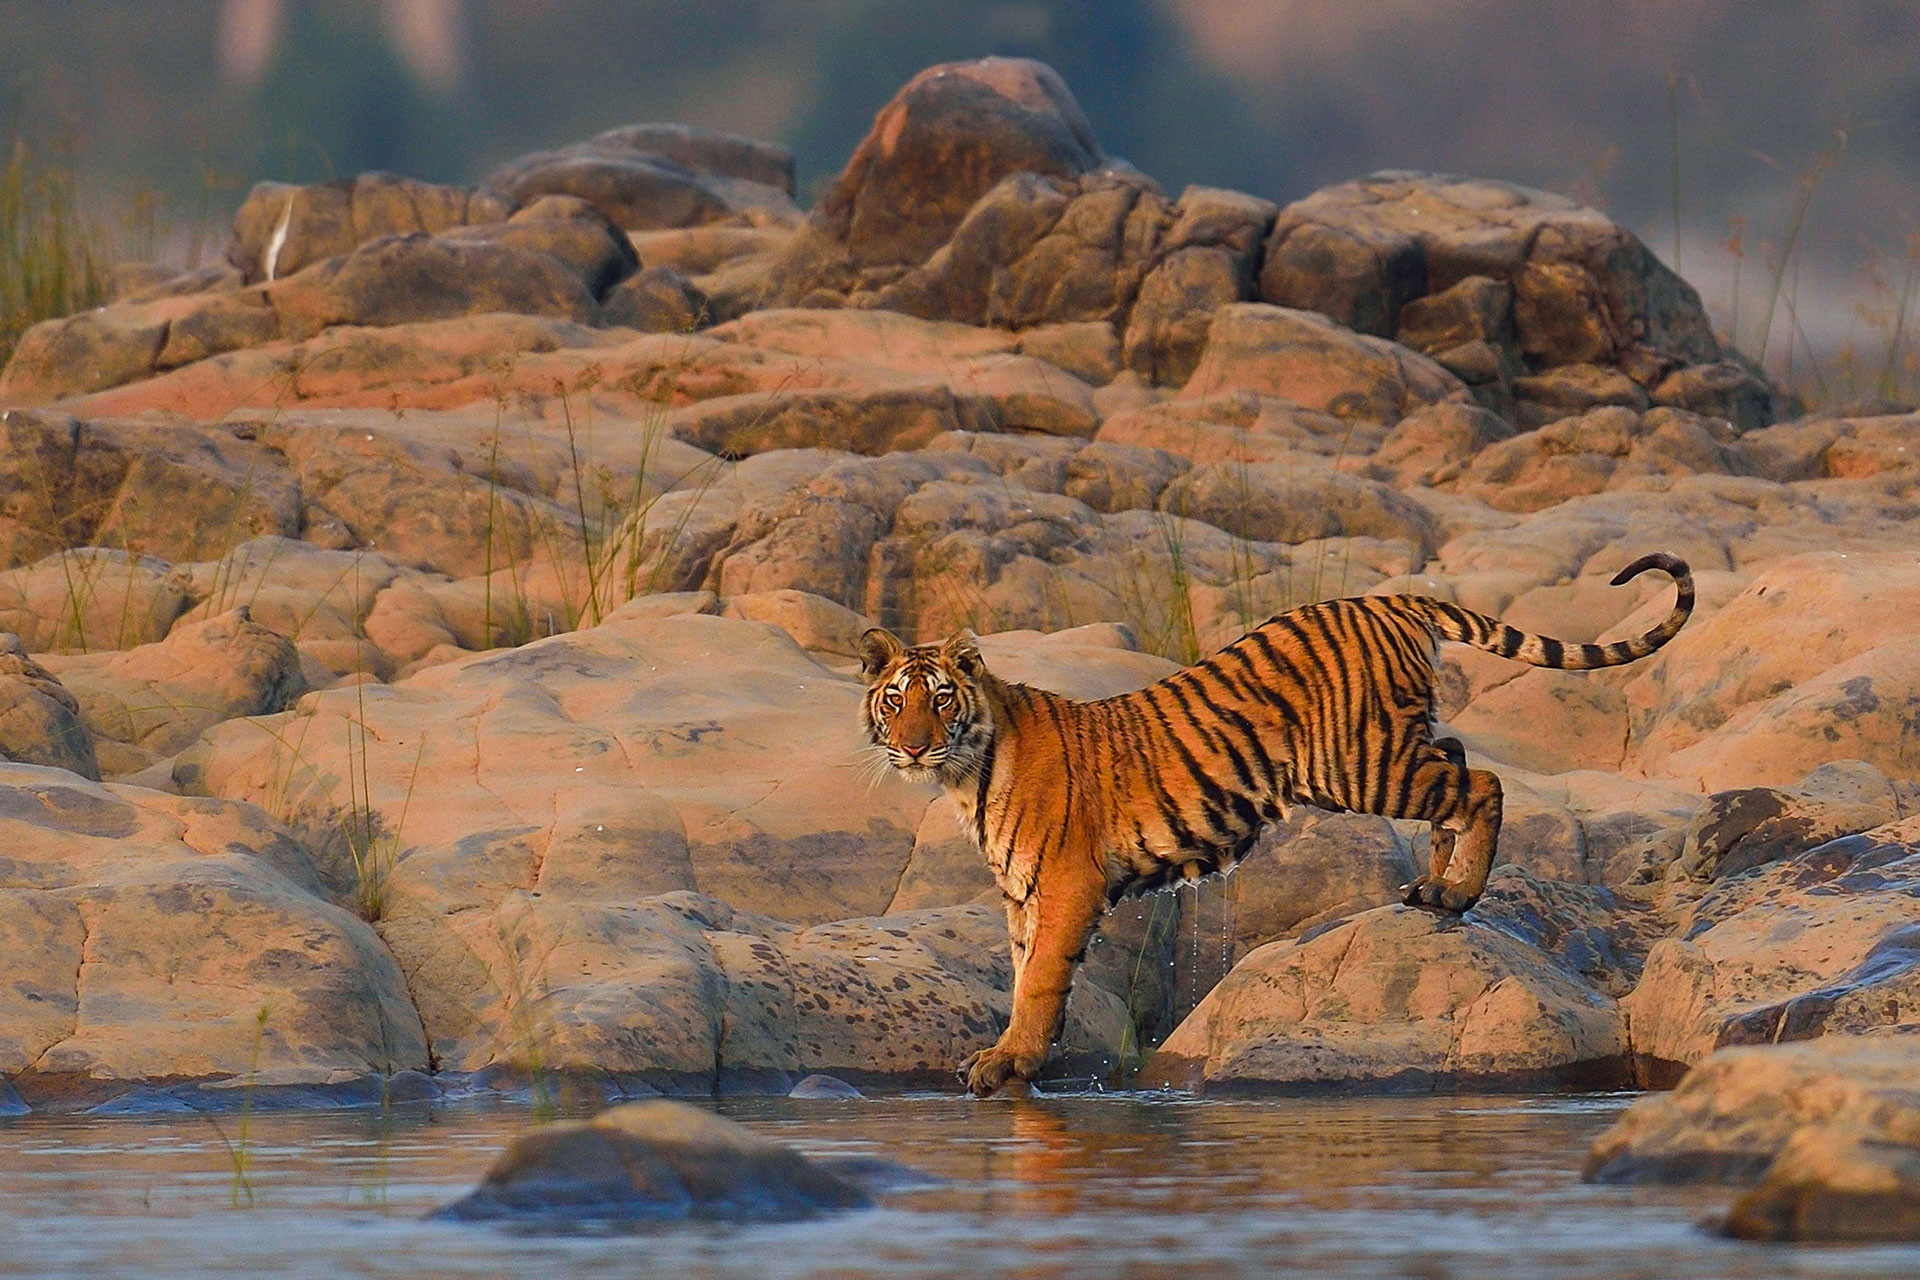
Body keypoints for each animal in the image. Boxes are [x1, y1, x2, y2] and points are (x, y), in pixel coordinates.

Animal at [858, 552, 1694, 1097]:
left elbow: (1036, 983)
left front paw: (1008, 1064)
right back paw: (1433, 886)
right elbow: (1027, 973)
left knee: (1480, 782)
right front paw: (1014, 1058)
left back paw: (1458, 895)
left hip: (1359, 761)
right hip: (1387, 750)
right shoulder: (1022, 896)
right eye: (895, 701)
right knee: (1457, 763)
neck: (967, 773)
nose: (914, 747)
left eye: (939, 698)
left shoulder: (1065, 883)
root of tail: (1390, 600)